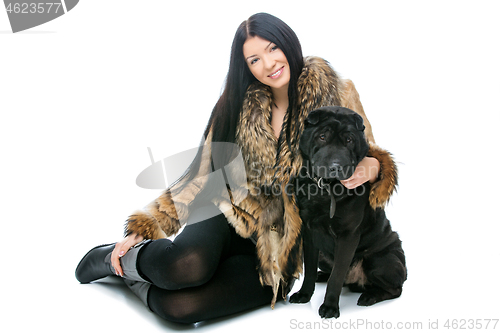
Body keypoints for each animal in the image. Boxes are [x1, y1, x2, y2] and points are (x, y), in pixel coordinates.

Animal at [290, 106, 406, 320]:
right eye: (322, 136)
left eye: (349, 140)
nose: (336, 167)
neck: (326, 190)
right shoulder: (309, 233)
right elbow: (309, 269)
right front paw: (304, 294)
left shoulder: (348, 235)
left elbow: (337, 275)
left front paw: (329, 307)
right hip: (325, 257)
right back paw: (323, 276)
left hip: (381, 260)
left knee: (395, 289)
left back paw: (369, 296)